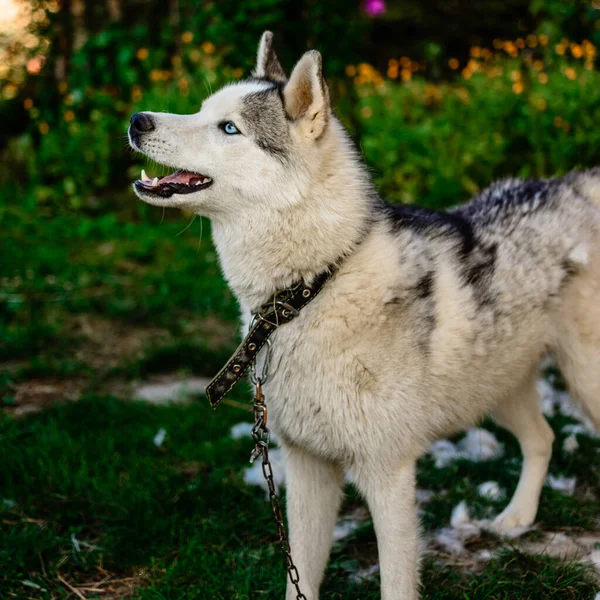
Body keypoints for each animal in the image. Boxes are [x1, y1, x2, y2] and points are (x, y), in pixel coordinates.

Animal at [129, 34, 600, 600]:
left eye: (229, 128)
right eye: (200, 110)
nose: (136, 120)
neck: (308, 290)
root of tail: (574, 183)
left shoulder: (387, 474)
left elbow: (396, 581)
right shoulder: (307, 468)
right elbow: (300, 577)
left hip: (580, 382)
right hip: (499, 390)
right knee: (542, 438)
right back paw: (516, 518)